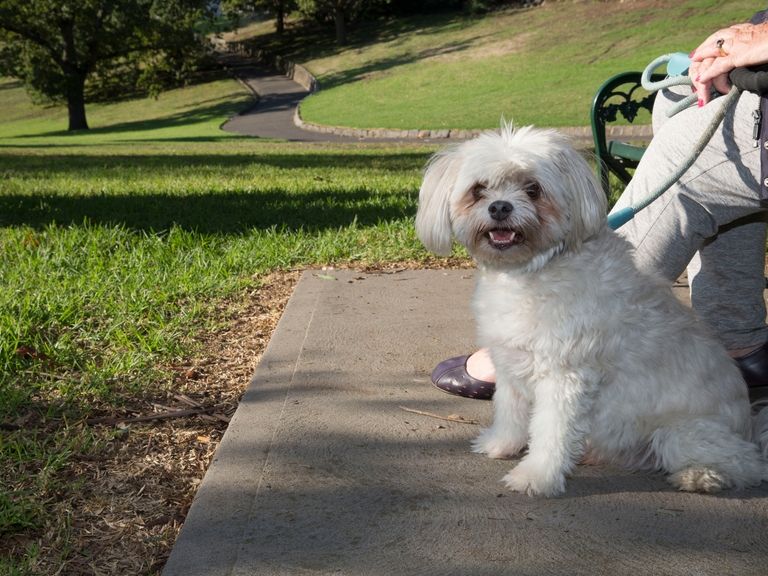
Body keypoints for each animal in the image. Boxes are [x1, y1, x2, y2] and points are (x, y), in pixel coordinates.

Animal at [416, 125, 764, 496]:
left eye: (533, 189)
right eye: (479, 190)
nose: (499, 207)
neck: (530, 271)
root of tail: (750, 424)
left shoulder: (564, 377)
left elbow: (550, 433)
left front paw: (536, 476)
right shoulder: (510, 364)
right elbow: (510, 412)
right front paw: (501, 445)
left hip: (681, 434)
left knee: (746, 462)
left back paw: (701, 475)